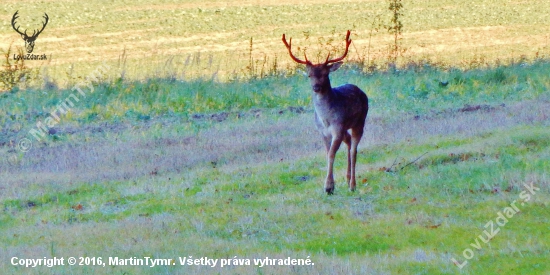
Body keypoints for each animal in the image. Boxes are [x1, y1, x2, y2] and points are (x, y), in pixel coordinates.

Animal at [284, 30, 370, 195]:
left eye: (325, 74)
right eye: (309, 75)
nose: (316, 87)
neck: (326, 118)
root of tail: (360, 90)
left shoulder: (337, 127)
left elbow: (331, 154)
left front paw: (329, 186)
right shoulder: (323, 132)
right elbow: (327, 153)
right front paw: (331, 186)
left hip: (360, 121)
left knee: (354, 149)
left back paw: (352, 184)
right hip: (345, 128)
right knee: (349, 142)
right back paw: (347, 178)